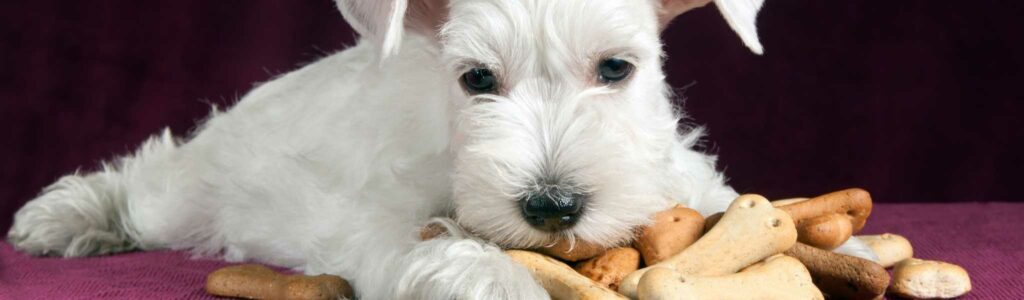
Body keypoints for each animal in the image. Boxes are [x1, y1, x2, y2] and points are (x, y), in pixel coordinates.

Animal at [4, 0, 876, 296]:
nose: (552, 205)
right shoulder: (381, 221)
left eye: (617, 69)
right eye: (477, 79)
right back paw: (62, 219)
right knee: (141, 178)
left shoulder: (676, 180)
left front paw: (849, 249)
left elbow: (723, 203)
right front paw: (498, 283)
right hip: (185, 193)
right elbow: (446, 247)